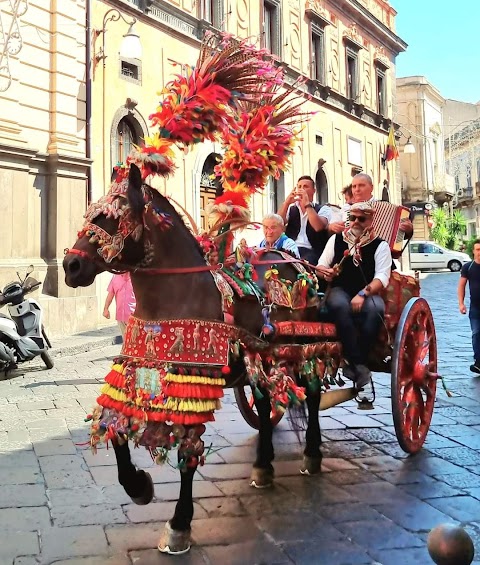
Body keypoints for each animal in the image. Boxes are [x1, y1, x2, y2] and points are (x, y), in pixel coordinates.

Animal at [62, 162, 324, 552]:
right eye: (90, 214)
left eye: (112, 217)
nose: (70, 266)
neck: (175, 294)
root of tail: (295, 263)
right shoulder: (135, 372)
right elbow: (115, 429)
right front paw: (139, 487)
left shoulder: (192, 381)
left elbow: (187, 453)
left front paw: (179, 523)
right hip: (259, 360)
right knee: (264, 405)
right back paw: (263, 466)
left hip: (305, 346)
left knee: (314, 392)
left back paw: (312, 454)